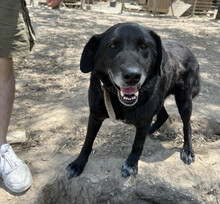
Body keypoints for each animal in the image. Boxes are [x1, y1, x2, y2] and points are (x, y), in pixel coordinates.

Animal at [66, 22, 200, 178]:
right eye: (112, 45)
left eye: (144, 46)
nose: (132, 76)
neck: (118, 100)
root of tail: (189, 50)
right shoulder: (95, 115)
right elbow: (87, 141)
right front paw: (78, 163)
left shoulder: (144, 119)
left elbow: (137, 145)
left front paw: (131, 164)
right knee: (163, 115)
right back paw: (151, 131)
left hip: (184, 100)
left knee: (187, 126)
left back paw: (188, 150)